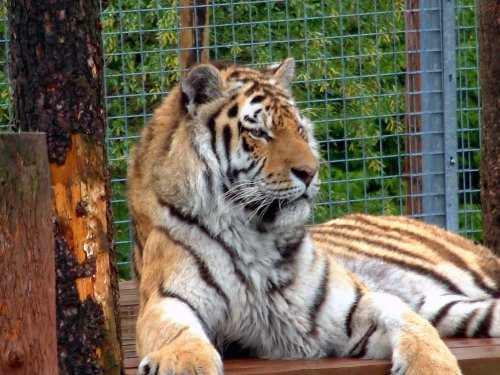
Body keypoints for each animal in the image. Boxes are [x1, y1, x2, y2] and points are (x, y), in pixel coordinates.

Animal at [127, 58, 498, 375]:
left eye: (300, 130)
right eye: (258, 133)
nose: (310, 171)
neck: (256, 234)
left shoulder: (350, 306)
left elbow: (409, 321)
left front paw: (432, 364)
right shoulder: (167, 299)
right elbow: (178, 335)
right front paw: (187, 363)